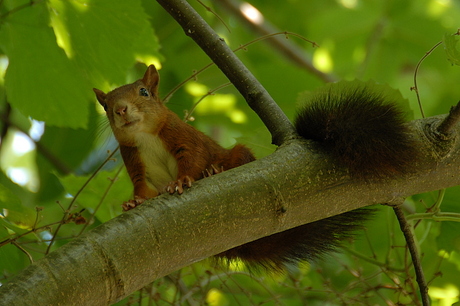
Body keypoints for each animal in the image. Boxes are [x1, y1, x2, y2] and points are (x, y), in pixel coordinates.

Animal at [92, 65, 416, 272]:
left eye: (143, 92)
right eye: (106, 106)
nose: (120, 109)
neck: (145, 137)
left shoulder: (183, 137)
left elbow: (193, 159)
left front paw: (183, 180)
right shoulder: (135, 162)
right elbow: (142, 187)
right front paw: (134, 202)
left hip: (237, 153)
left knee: (233, 158)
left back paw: (215, 171)